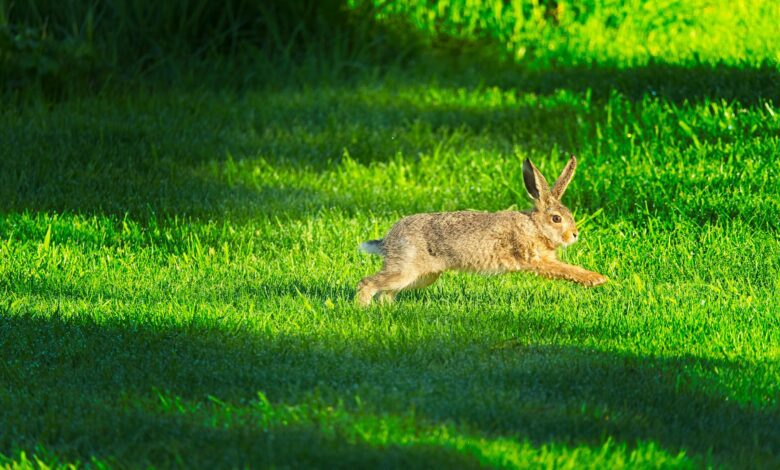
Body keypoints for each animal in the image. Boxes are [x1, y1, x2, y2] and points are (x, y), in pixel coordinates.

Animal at [356, 156, 608, 306]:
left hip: (423, 276)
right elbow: (565, 269)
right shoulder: (535, 259)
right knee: (367, 283)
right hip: (406, 269)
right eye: (556, 219)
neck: (535, 226)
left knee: (386, 291)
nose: (574, 235)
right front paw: (596, 279)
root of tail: (387, 241)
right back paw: (362, 308)